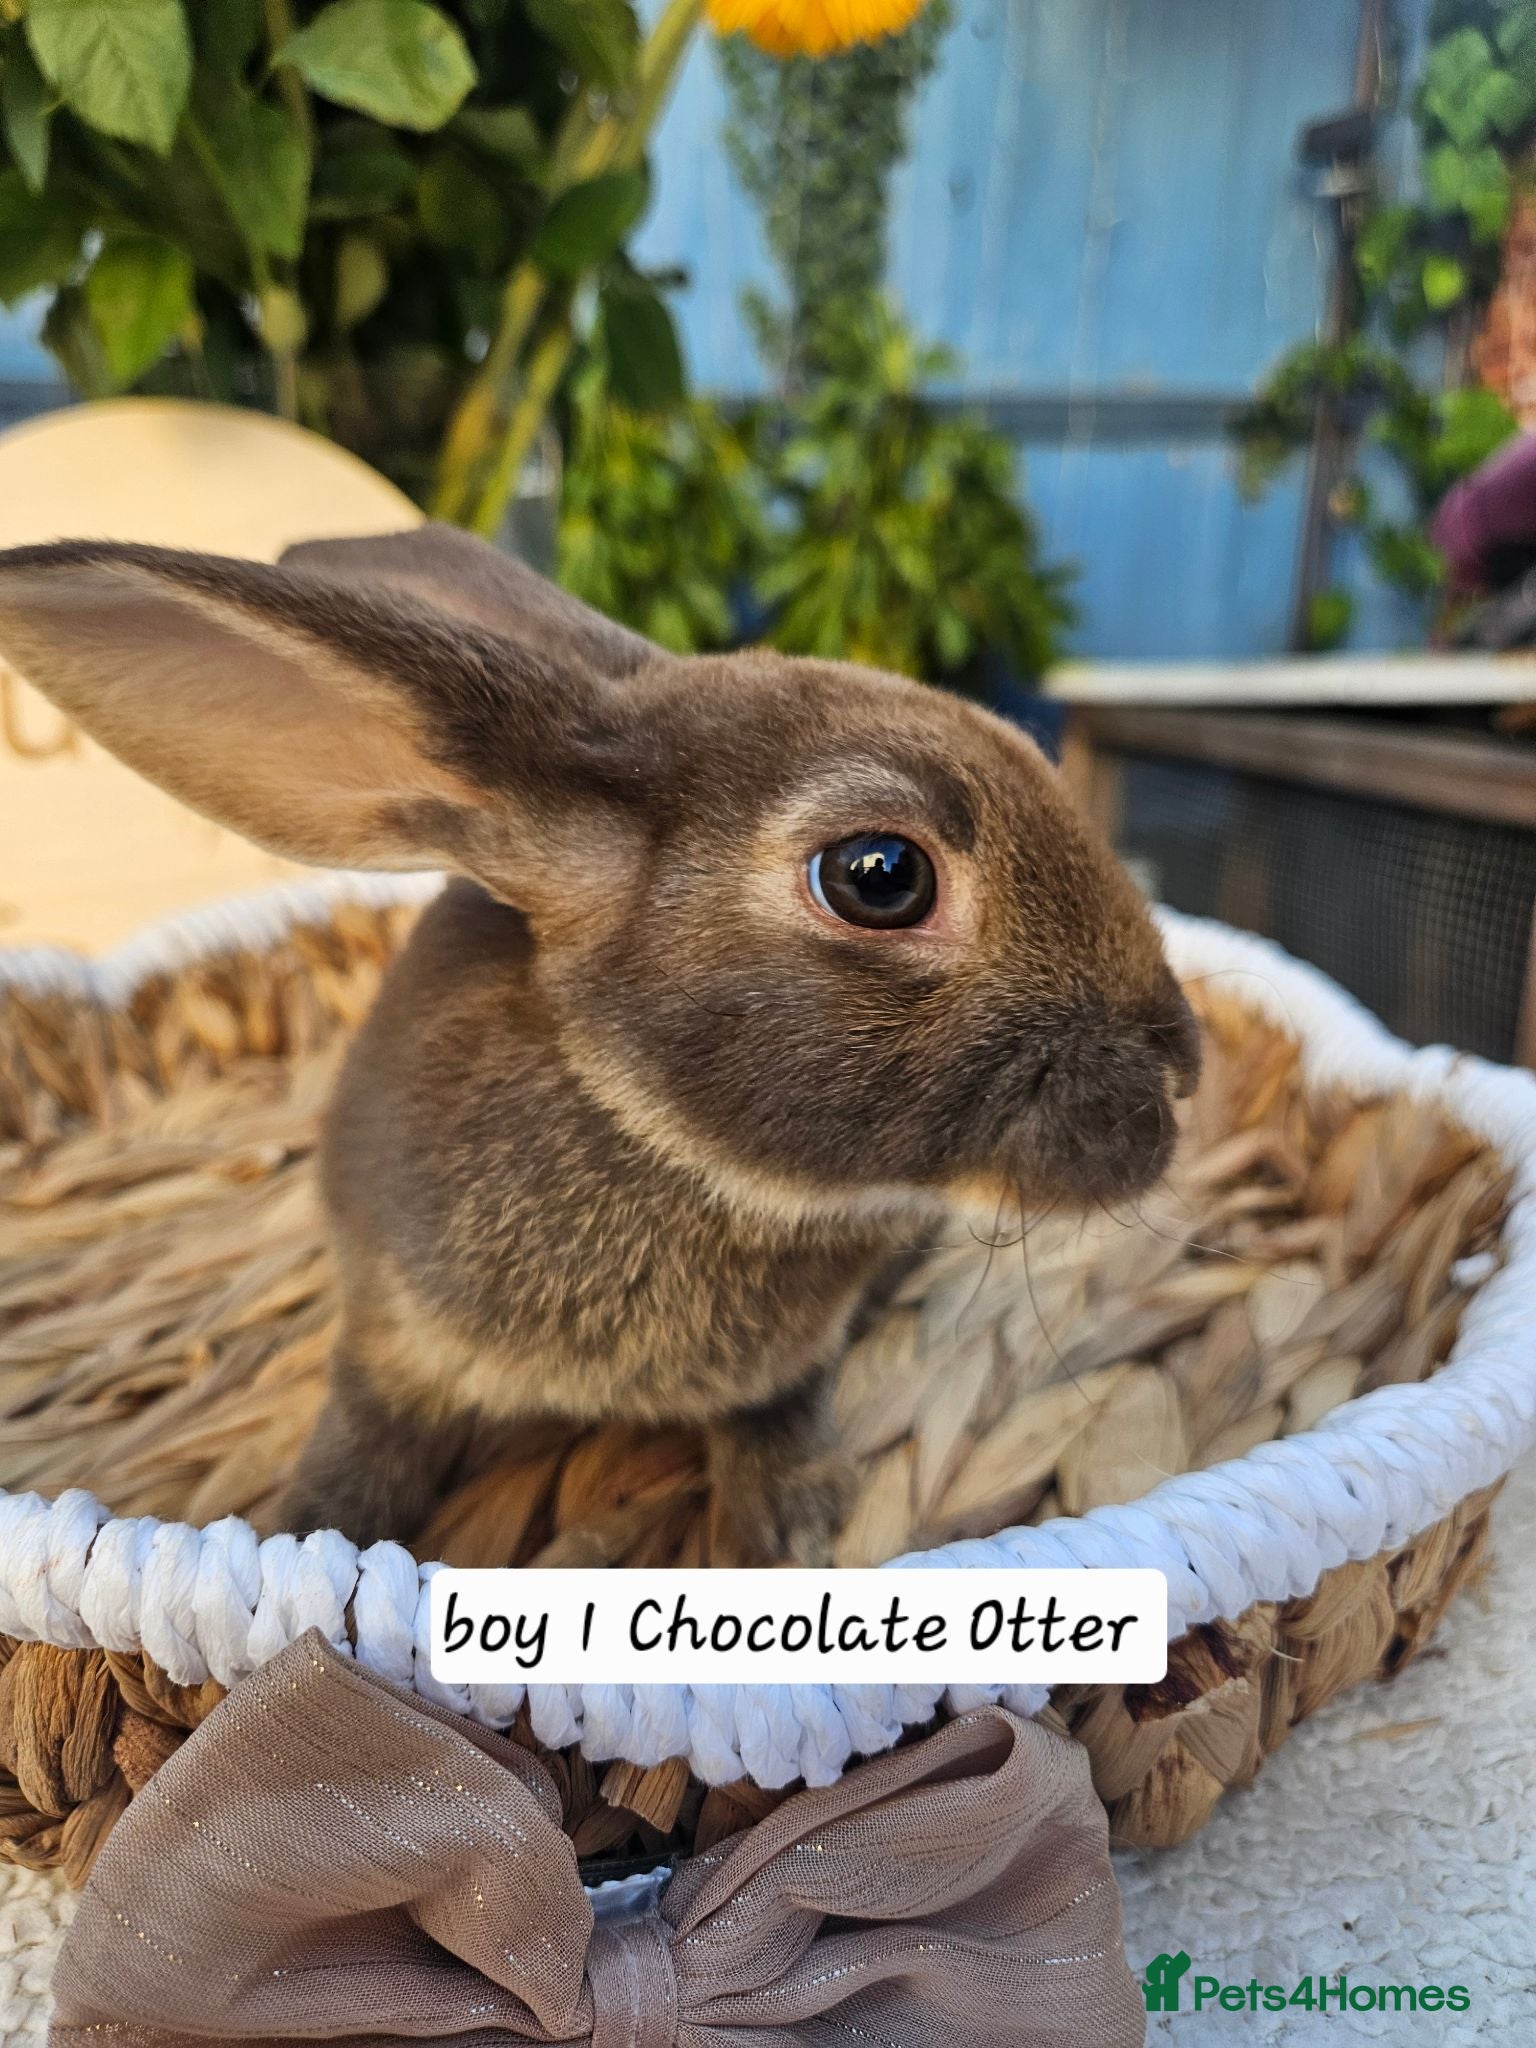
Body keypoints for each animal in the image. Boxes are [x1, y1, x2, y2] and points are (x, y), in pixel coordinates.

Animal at [0, 524, 1199, 1560]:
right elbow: (359, 1452)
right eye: (881, 874)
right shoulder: (391, 1339)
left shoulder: (789, 1360)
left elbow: (777, 1409)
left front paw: (791, 1524)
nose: (1182, 1066)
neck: (661, 1141)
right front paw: (300, 1541)